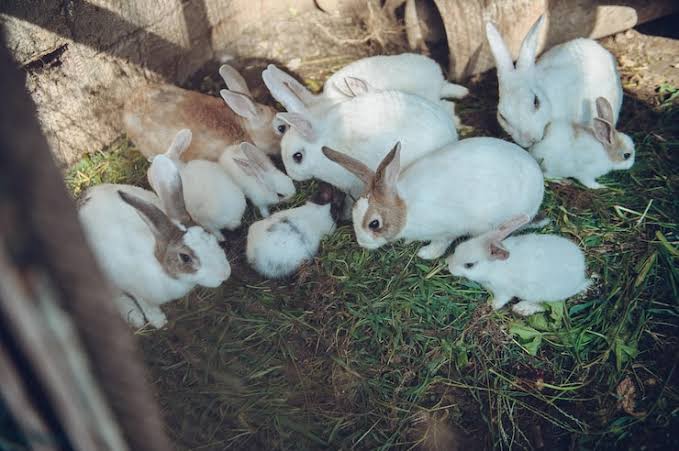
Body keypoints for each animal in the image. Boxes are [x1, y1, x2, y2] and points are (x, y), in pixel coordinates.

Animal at [78, 154, 231, 329]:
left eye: (209, 234)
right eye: (185, 257)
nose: (225, 274)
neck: (160, 267)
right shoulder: (135, 288)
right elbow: (146, 304)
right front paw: (159, 321)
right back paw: (135, 317)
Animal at [321, 137, 544, 260]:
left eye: (374, 224)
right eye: (353, 211)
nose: (362, 244)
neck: (407, 210)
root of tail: (539, 183)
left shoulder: (446, 231)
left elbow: (440, 244)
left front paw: (425, 254)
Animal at [447, 214, 591, 316]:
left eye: (469, 265)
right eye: (457, 248)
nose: (449, 267)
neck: (492, 268)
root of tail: (580, 276)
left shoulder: (503, 290)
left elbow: (502, 299)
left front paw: (492, 305)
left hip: (542, 293)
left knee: (544, 305)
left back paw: (522, 308)